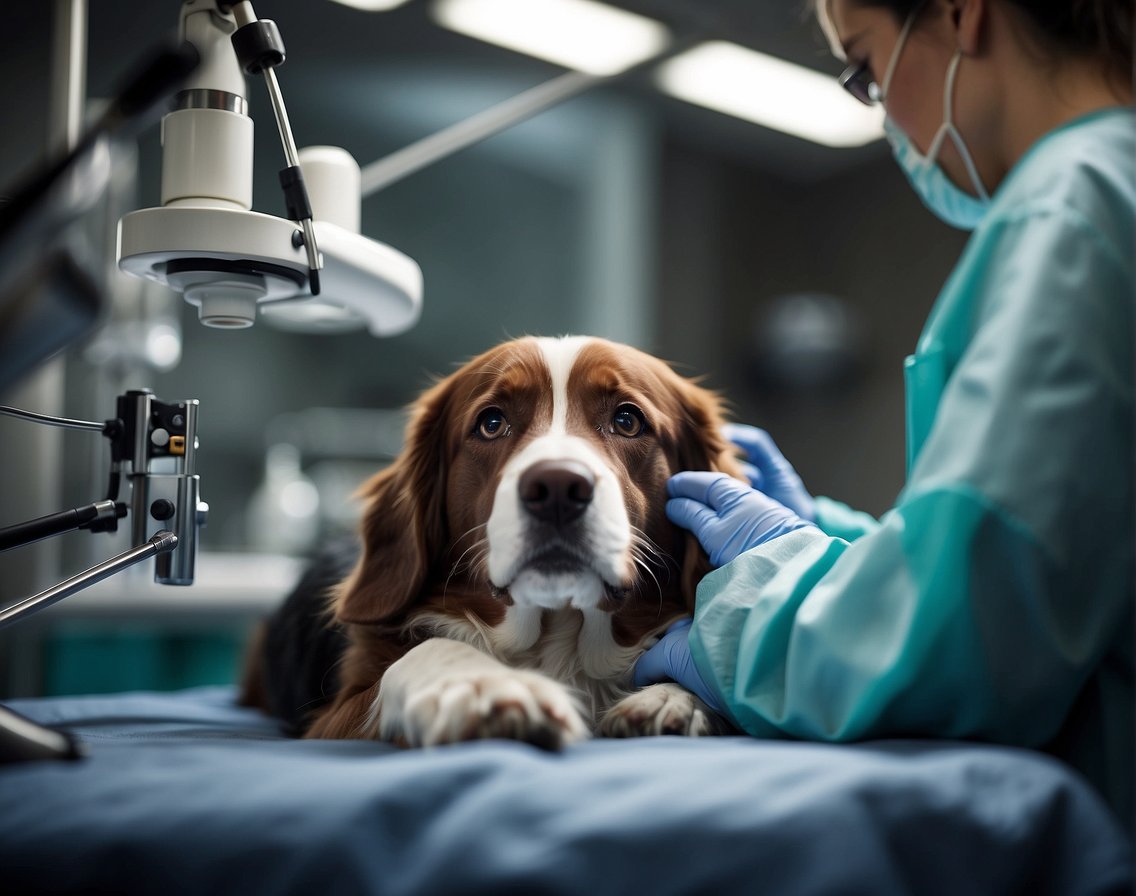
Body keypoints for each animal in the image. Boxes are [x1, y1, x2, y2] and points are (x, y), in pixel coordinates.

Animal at [241, 336, 745, 749]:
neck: (558, 642)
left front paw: (676, 696)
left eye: (627, 420)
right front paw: (485, 686)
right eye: (491, 422)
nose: (557, 488)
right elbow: (430, 649)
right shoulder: (336, 716)